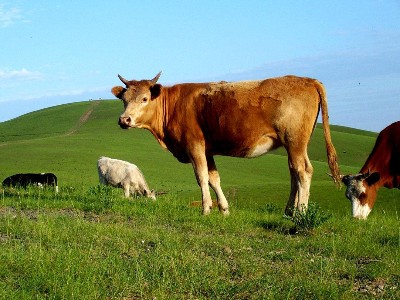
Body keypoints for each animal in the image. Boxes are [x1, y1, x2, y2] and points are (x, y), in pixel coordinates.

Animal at [112, 72, 340, 216]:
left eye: (144, 98)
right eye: (124, 99)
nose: (124, 120)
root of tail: (308, 80)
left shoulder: (194, 145)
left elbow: (202, 178)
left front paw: (206, 209)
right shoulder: (207, 150)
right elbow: (214, 179)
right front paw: (224, 209)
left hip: (294, 140)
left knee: (303, 171)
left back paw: (301, 212)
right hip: (293, 144)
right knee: (294, 172)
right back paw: (289, 211)